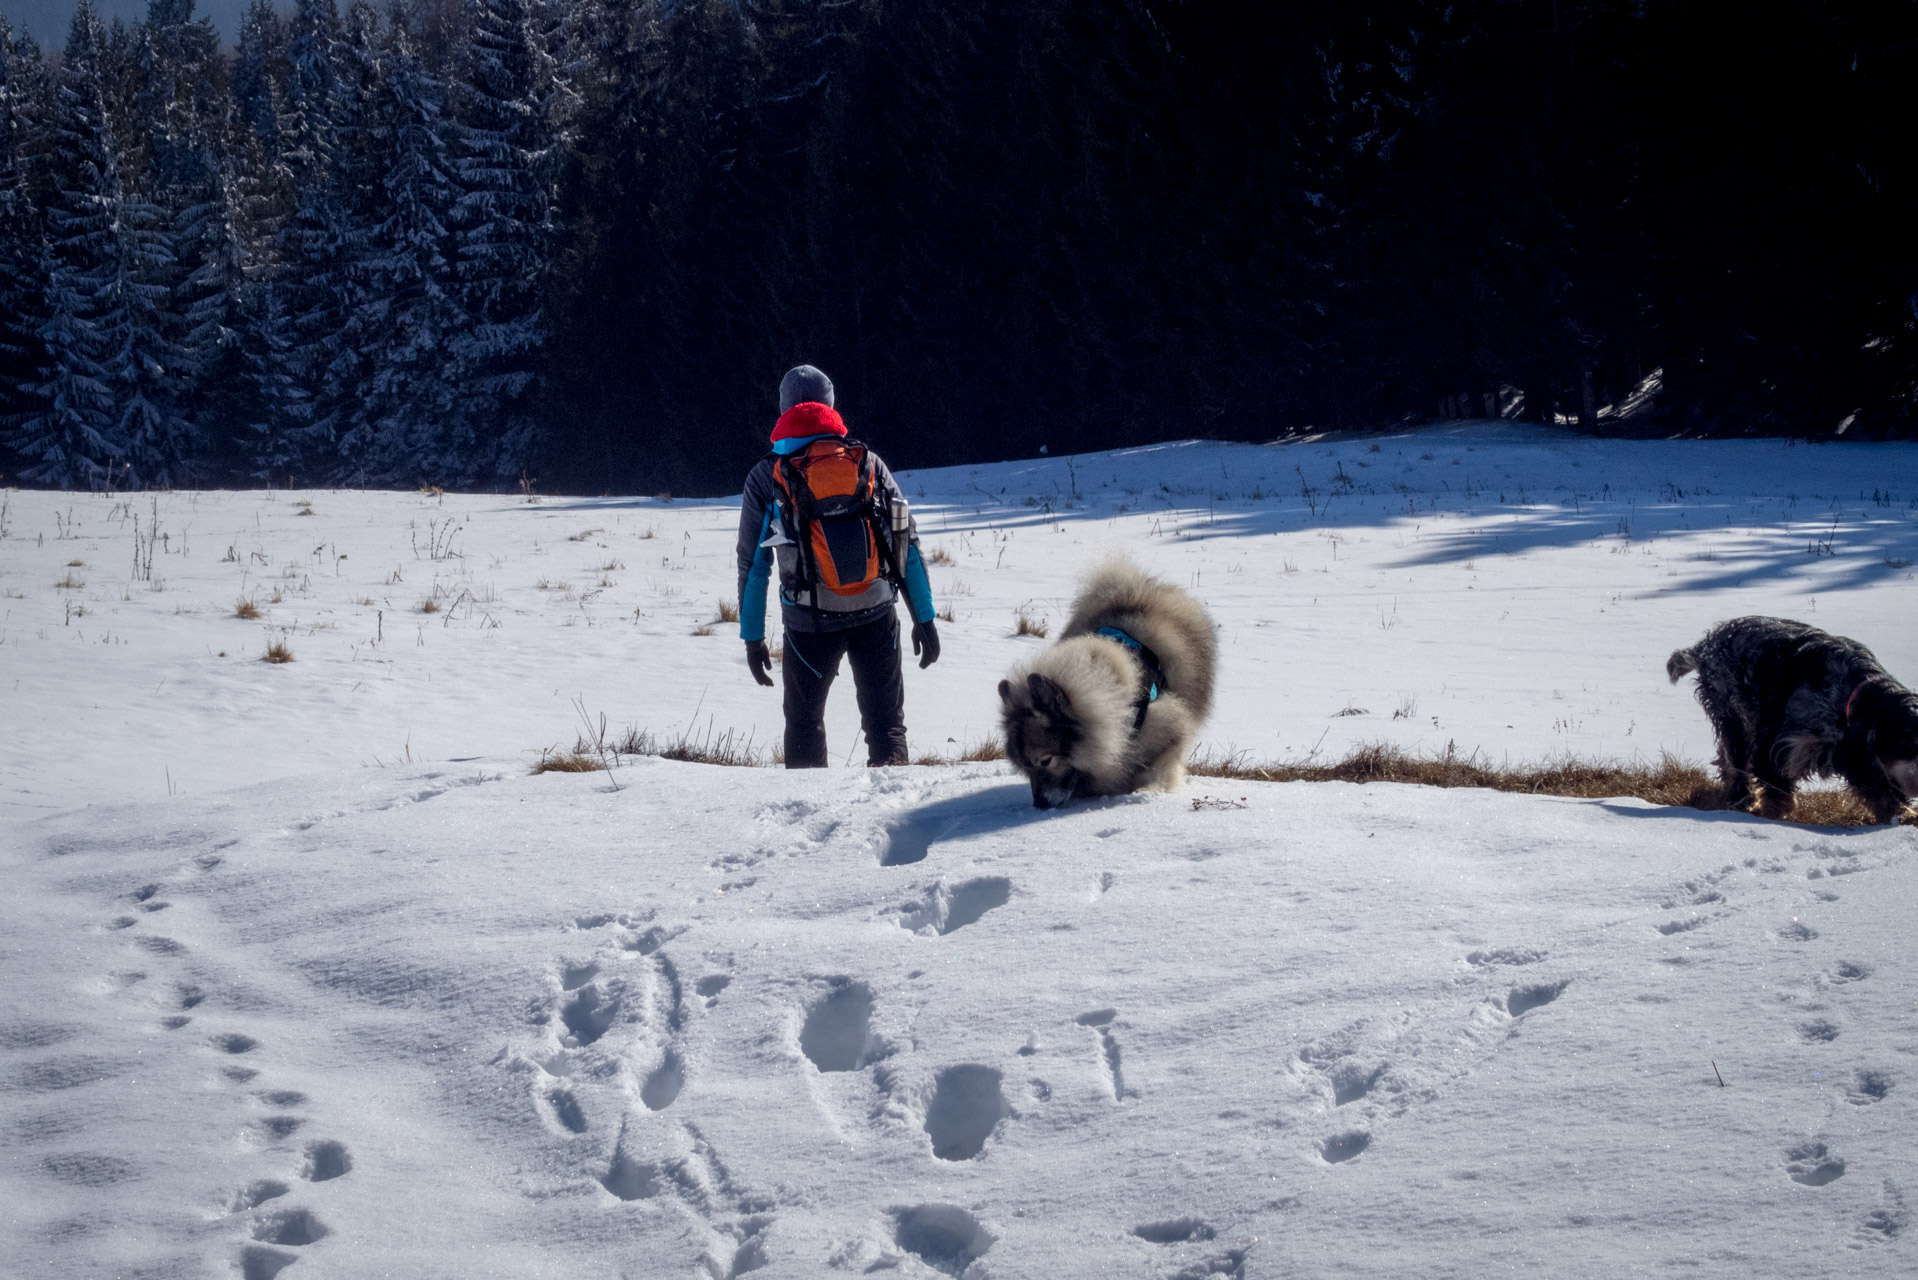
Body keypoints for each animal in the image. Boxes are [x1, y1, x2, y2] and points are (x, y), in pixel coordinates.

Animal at [1005, 560, 1212, 809]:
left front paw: (1146, 790)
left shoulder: (1168, 727)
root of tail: (1134, 590)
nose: (1039, 804)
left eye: (1046, 761)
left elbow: (1160, 766)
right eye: (1024, 767)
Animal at [1664, 617, 1918, 821]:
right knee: (1736, 761)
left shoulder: (1859, 757)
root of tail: (1705, 646)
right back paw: (1741, 799)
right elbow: (1775, 786)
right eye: (1906, 744)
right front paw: (1773, 815)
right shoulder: (1780, 742)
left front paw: (1902, 816)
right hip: (1731, 714)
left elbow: (1880, 789)